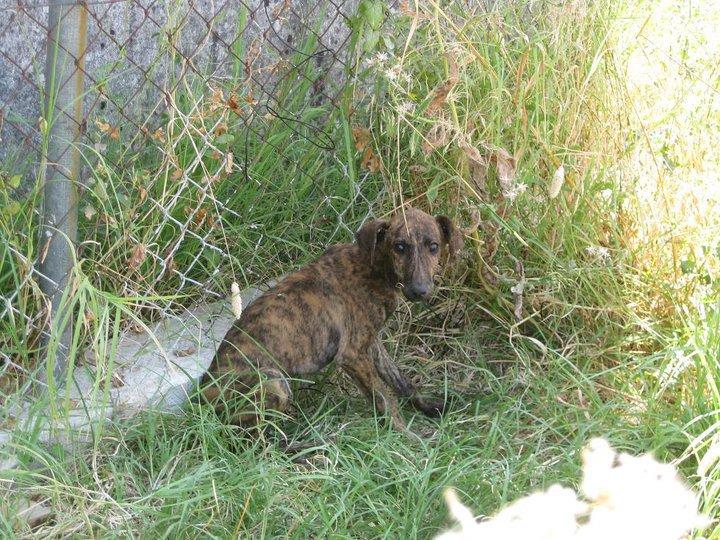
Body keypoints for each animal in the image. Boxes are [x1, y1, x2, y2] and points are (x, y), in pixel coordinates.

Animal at [200, 205, 464, 432]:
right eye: (399, 247)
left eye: (434, 246)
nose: (420, 291)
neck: (374, 266)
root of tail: (200, 399)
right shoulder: (352, 355)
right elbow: (384, 398)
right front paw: (407, 438)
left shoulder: (371, 342)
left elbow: (400, 380)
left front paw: (428, 407)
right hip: (273, 380)